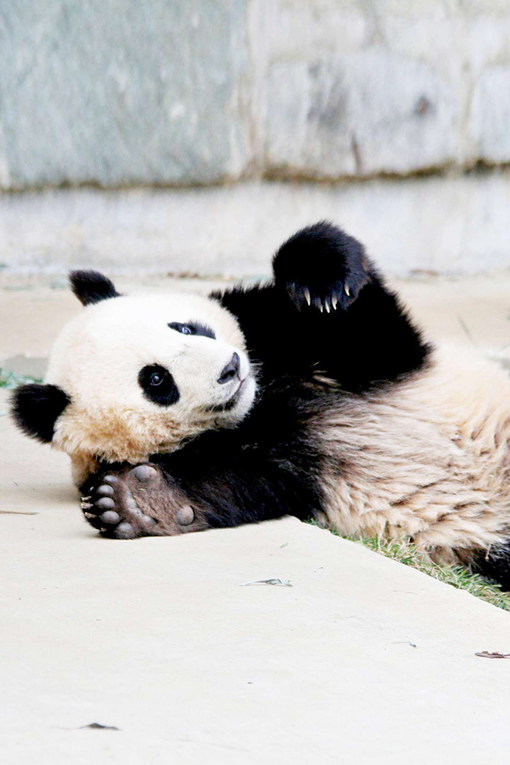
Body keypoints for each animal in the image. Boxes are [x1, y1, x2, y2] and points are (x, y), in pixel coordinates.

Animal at [9, 224, 510, 588]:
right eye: (156, 380)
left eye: (185, 328)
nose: (231, 369)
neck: (263, 399)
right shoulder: (272, 464)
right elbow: (235, 485)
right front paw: (137, 501)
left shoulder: (290, 338)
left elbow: (373, 333)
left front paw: (321, 283)